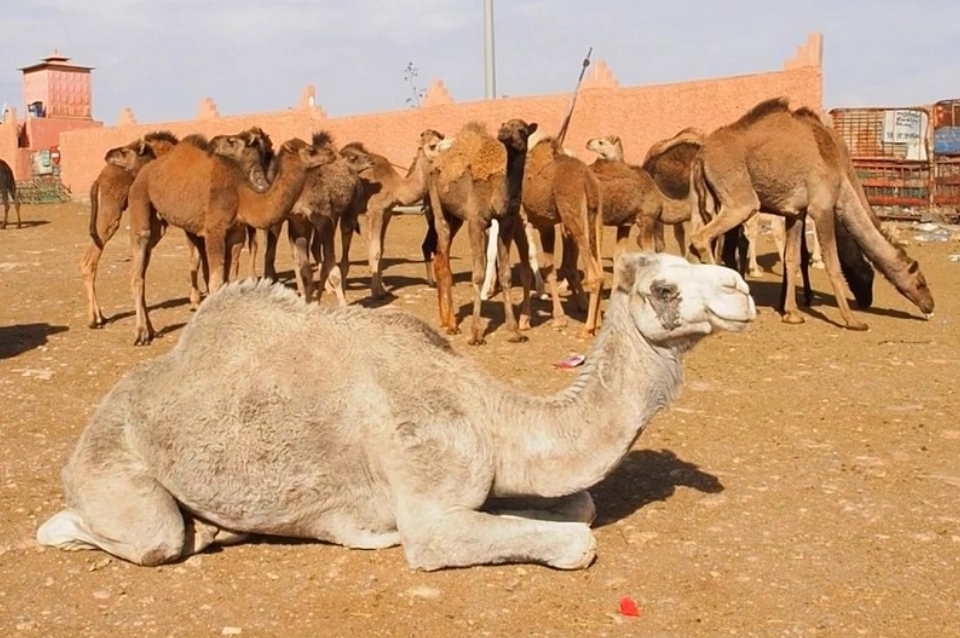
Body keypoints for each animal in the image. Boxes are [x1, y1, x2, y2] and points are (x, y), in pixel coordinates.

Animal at [35, 252, 757, 570]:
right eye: (664, 287)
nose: (741, 289)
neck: (490, 413)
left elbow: (578, 504)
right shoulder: (430, 501)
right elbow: (575, 541)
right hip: (113, 476)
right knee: (140, 534)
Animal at [126, 136, 337, 345]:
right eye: (311, 151)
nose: (332, 154)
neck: (242, 196)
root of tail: (142, 173)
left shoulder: (236, 233)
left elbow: (228, 279)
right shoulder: (214, 231)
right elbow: (215, 282)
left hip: (158, 224)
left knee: (144, 267)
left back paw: (152, 331)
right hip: (139, 202)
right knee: (137, 270)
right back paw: (141, 334)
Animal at [425, 119, 537, 345]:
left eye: (521, 130)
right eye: (505, 126)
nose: (503, 133)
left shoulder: (507, 221)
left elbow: (505, 275)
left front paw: (514, 332)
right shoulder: (476, 221)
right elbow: (477, 274)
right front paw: (476, 334)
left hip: (456, 217)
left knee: (440, 258)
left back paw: (445, 320)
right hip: (438, 204)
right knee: (444, 261)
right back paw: (452, 325)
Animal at [520, 136, 605, 337]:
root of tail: (587, 180)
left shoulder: (521, 221)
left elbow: (526, 270)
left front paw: (524, 320)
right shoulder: (546, 225)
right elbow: (550, 269)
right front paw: (558, 319)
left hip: (573, 216)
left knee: (595, 275)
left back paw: (587, 328)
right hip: (596, 217)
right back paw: (597, 324)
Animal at [688, 97, 934, 329]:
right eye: (920, 282)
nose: (930, 305)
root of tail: (701, 155)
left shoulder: (795, 213)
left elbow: (791, 258)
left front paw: (791, 313)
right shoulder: (822, 208)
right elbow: (832, 264)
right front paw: (852, 320)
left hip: (711, 201)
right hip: (741, 200)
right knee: (702, 238)